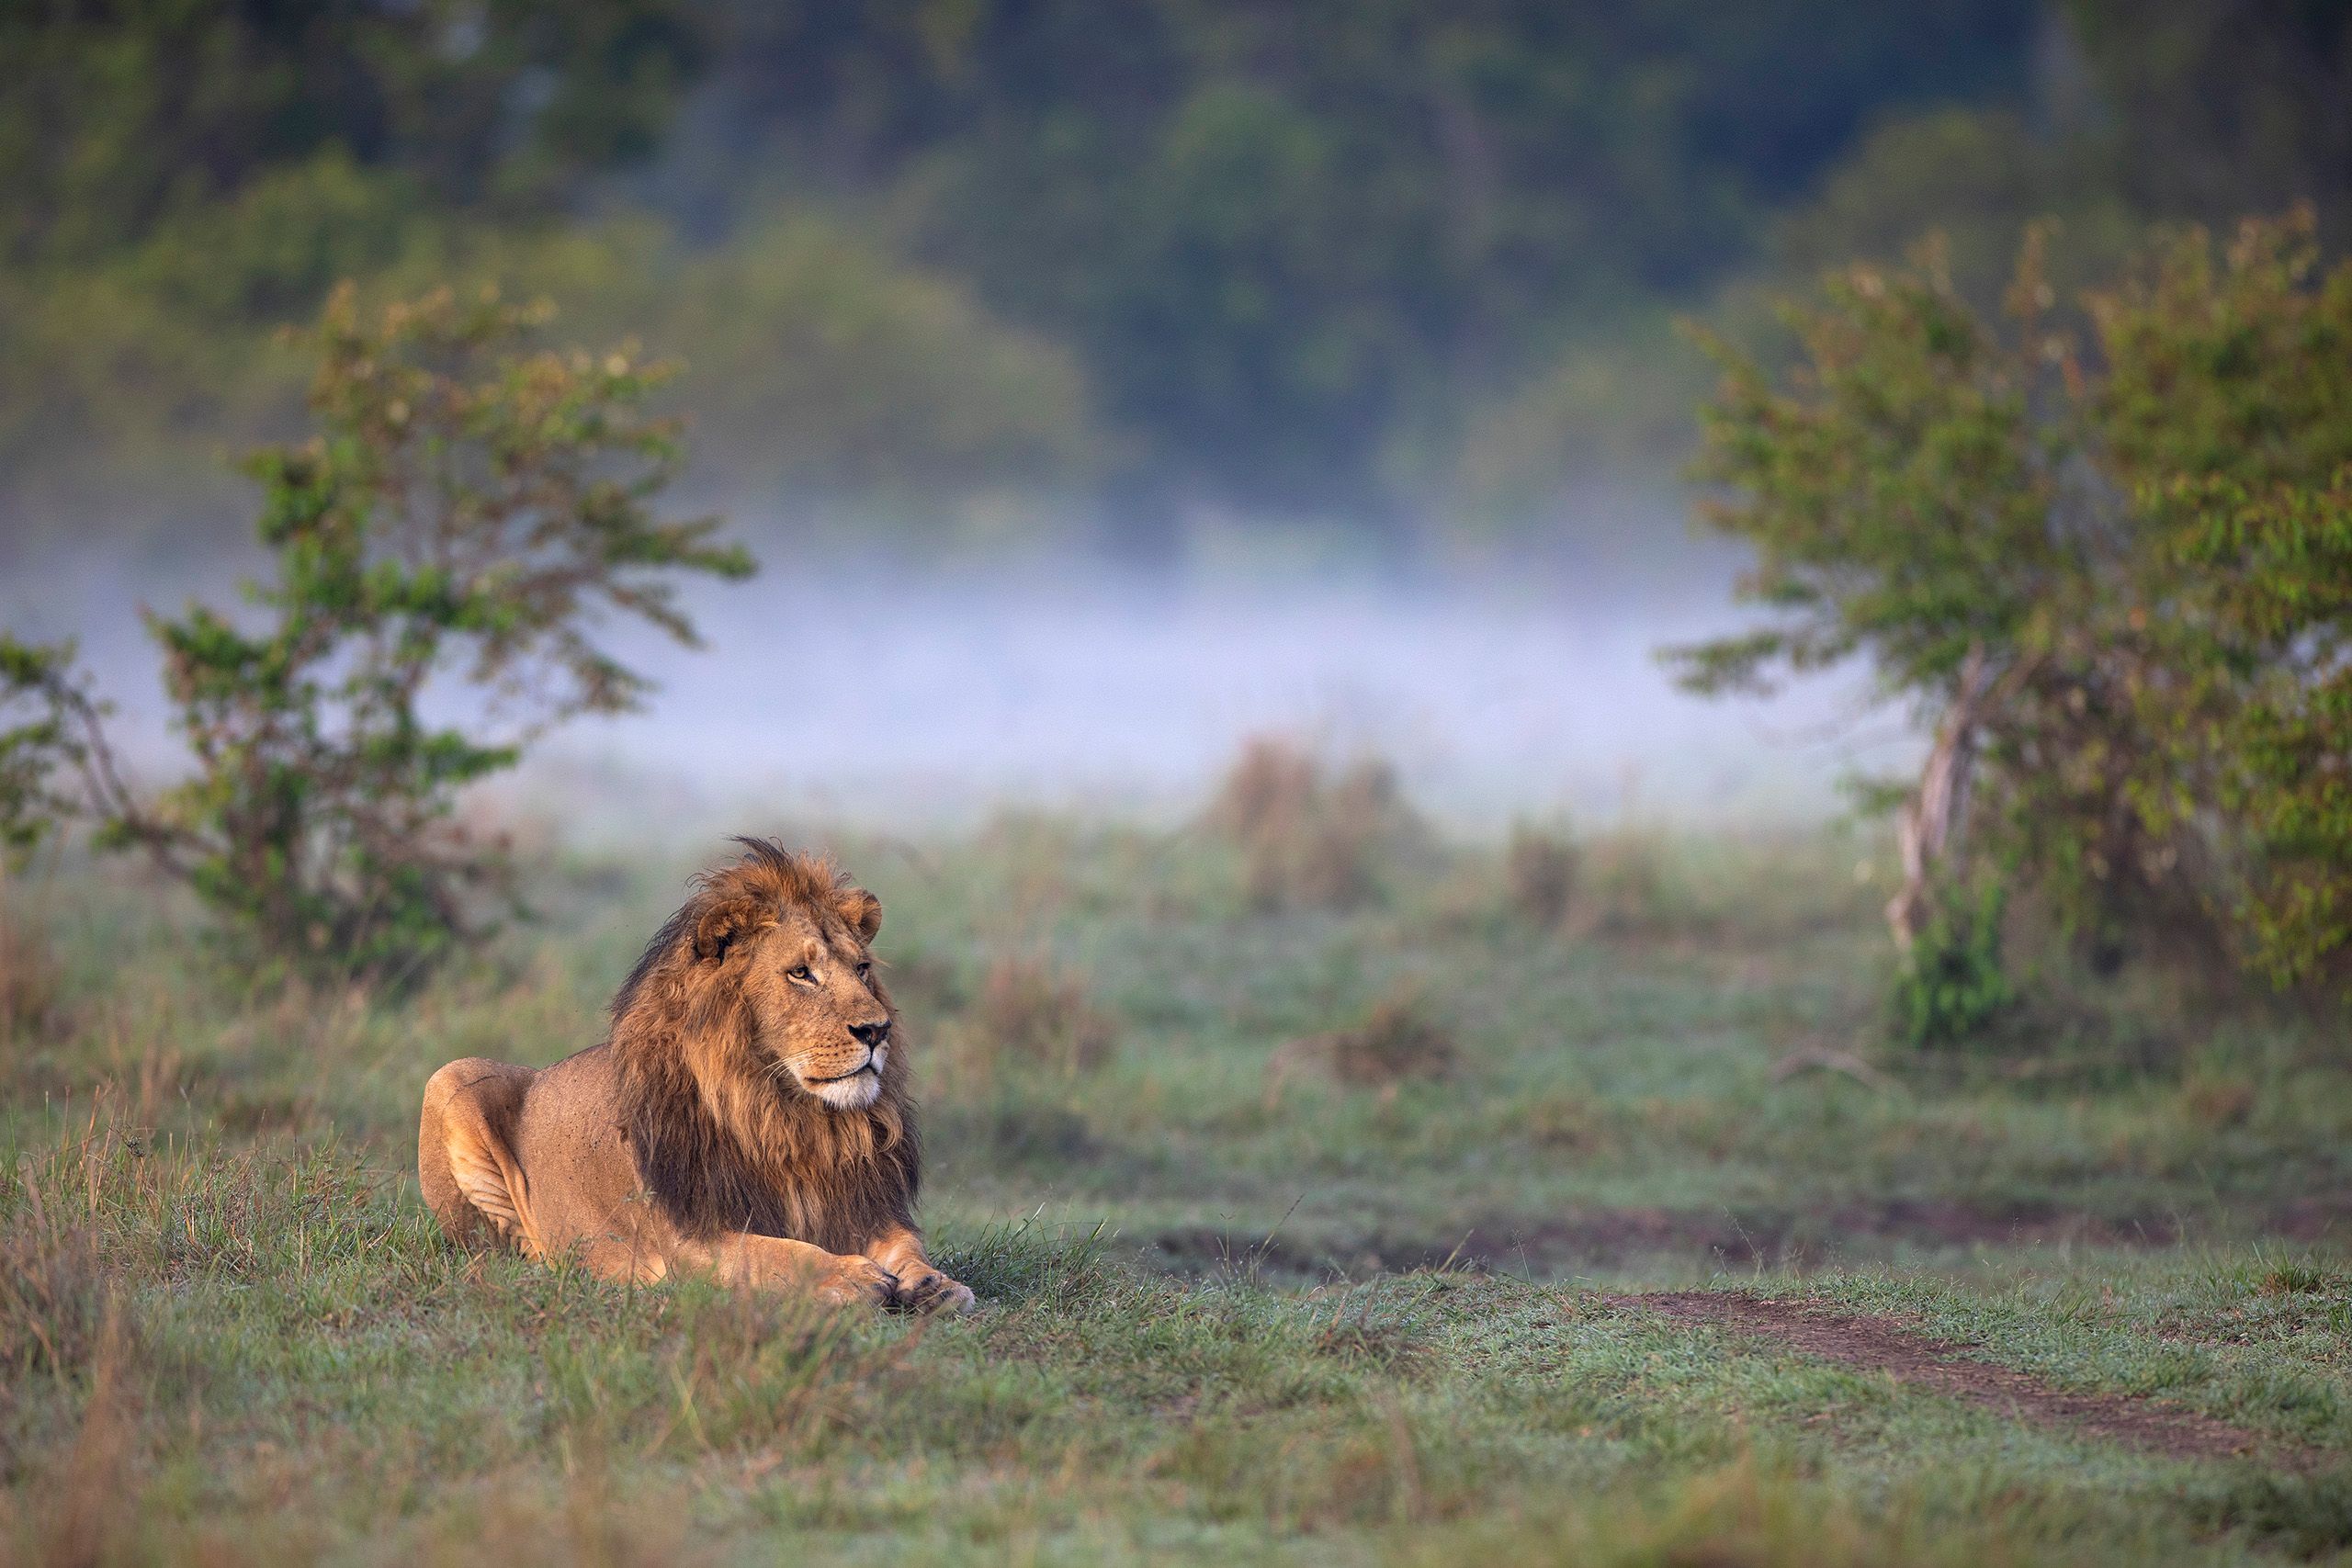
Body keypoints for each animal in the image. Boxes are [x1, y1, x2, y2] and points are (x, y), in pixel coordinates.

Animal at [417, 839, 973, 1312]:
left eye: (861, 969)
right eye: (800, 973)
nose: (877, 1030)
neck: (784, 1117)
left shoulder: (866, 1207)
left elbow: (908, 1246)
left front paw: (937, 1284)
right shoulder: (689, 1237)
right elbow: (777, 1253)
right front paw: (849, 1276)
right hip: (450, 1078)